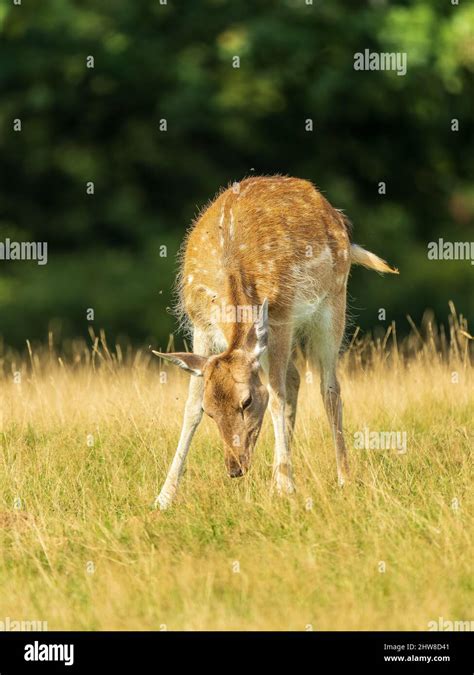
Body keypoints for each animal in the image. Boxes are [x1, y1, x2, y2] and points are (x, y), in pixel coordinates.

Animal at [154, 177, 398, 510]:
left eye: (246, 402)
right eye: (211, 410)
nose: (234, 468)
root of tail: (336, 214)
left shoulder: (281, 317)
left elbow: (277, 397)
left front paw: (285, 487)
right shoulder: (200, 325)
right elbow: (190, 408)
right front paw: (164, 496)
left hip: (333, 300)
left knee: (328, 388)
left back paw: (343, 478)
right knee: (295, 376)